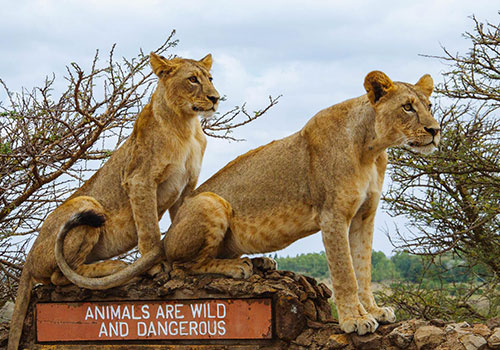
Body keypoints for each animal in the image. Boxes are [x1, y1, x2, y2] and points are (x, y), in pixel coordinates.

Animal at [7, 52, 219, 350]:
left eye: (210, 78)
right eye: (192, 79)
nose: (216, 98)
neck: (186, 125)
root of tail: (28, 259)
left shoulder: (188, 185)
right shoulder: (139, 179)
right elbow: (149, 230)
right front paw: (154, 267)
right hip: (88, 205)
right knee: (60, 277)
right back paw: (116, 267)